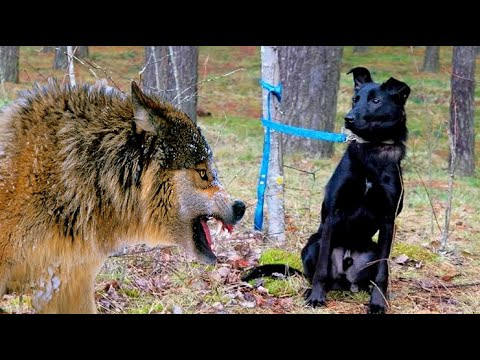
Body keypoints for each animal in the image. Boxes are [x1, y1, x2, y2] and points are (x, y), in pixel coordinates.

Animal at [242, 66, 410, 314]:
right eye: (355, 98)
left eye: (376, 101)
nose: (348, 118)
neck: (371, 149)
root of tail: (345, 279)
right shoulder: (333, 214)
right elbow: (322, 268)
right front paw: (316, 298)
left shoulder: (389, 220)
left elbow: (383, 271)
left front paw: (379, 302)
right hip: (314, 243)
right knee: (316, 274)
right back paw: (311, 290)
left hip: (371, 250)